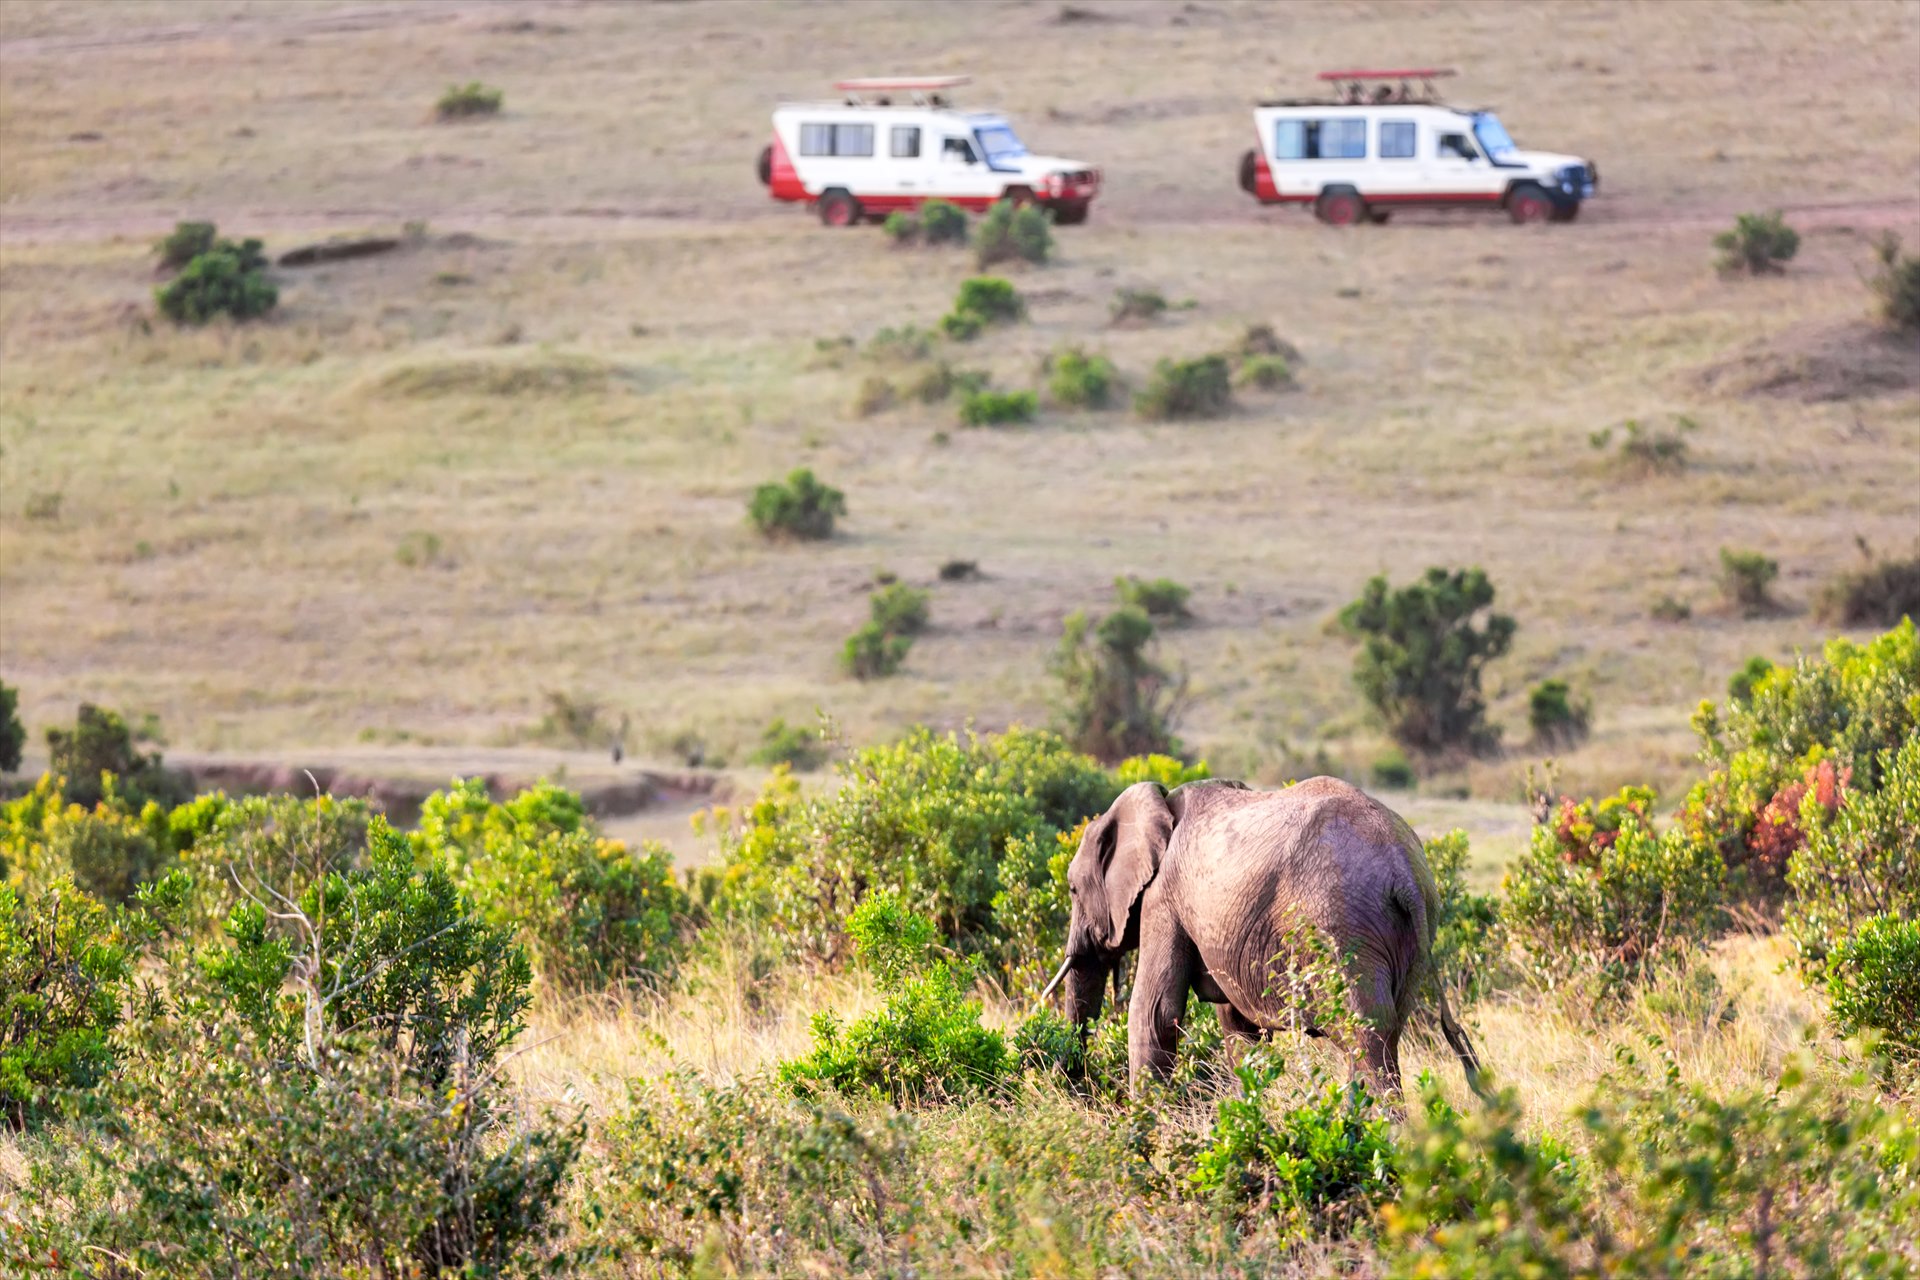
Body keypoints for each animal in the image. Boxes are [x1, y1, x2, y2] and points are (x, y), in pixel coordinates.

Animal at [1038, 776, 1483, 1095]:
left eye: (1072, 889)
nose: (1070, 1082)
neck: (1158, 802)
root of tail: (1405, 871)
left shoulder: (1163, 898)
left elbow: (1155, 1012)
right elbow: (1238, 1026)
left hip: (1343, 925)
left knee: (1365, 1034)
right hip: (1408, 938)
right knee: (1388, 1036)